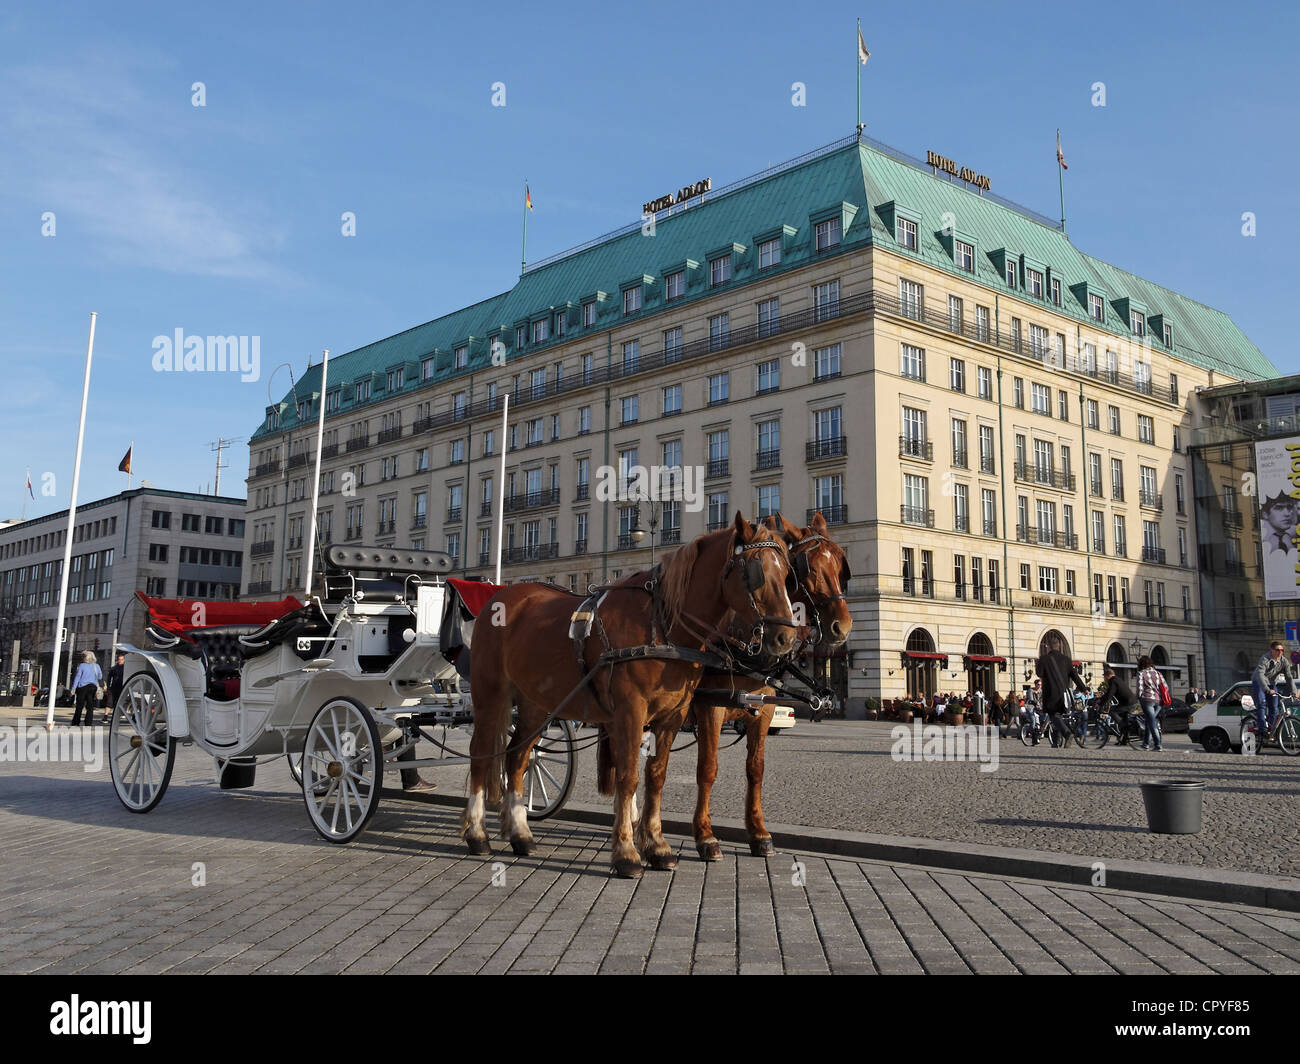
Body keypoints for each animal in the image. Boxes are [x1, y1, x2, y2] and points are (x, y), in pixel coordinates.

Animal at [462, 512, 799, 878]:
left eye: (787, 574)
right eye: (755, 571)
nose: (786, 639)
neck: (660, 626)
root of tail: (504, 597)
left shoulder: (671, 717)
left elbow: (656, 776)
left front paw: (657, 846)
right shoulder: (631, 713)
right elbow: (629, 777)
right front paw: (626, 851)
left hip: (537, 704)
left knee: (518, 757)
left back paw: (520, 834)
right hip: (490, 695)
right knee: (481, 754)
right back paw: (477, 834)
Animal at [688, 511, 853, 860]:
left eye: (840, 566)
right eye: (808, 568)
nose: (842, 627)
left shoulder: (762, 712)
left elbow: (756, 769)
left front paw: (759, 833)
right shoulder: (710, 708)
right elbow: (707, 769)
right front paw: (705, 836)